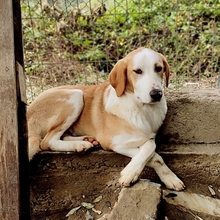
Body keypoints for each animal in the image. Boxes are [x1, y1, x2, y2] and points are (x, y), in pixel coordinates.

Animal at [27, 47, 186, 191]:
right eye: (138, 71)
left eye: (158, 68)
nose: (156, 94)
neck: (141, 108)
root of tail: (28, 112)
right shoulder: (113, 143)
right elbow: (154, 155)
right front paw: (130, 174)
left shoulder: (150, 137)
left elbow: (150, 147)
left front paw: (170, 178)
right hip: (75, 95)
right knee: (46, 142)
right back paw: (80, 144)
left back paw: (85, 141)